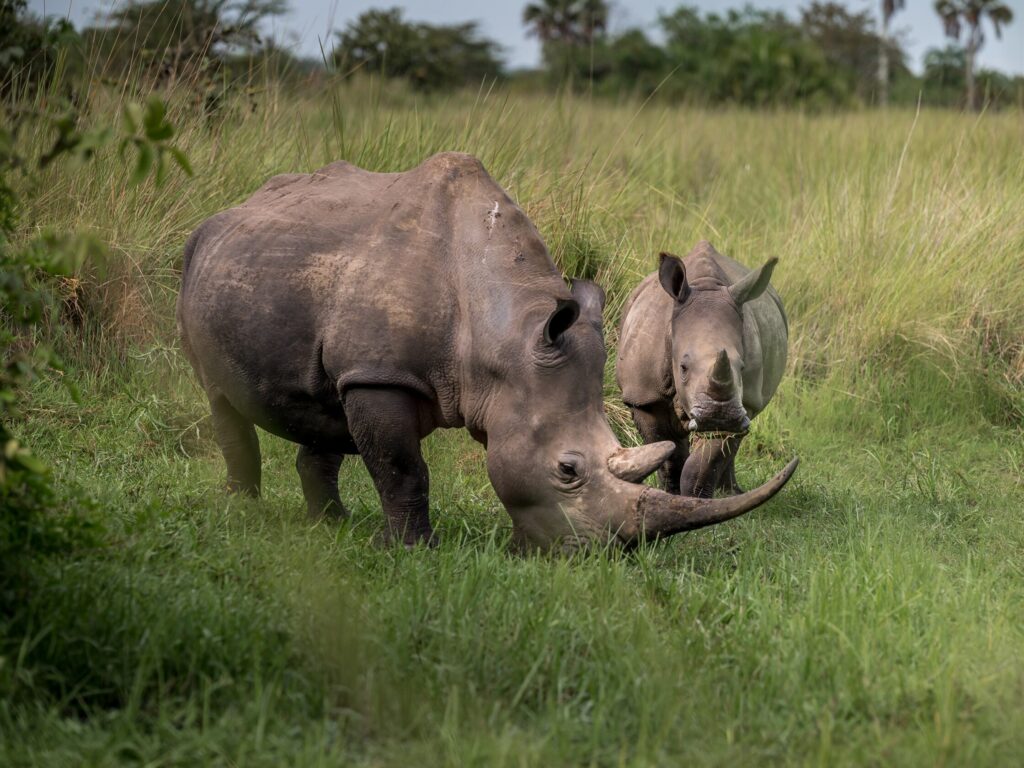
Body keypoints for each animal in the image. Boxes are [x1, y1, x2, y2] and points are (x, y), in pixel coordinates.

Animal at [614, 243, 790, 501]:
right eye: (683, 367)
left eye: (742, 367)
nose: (719, 415)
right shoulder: (644, 396)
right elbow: (667, 450)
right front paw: (674, 496)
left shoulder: (743, 400)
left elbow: (708, 461)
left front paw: (697, 499)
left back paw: (730, 494)